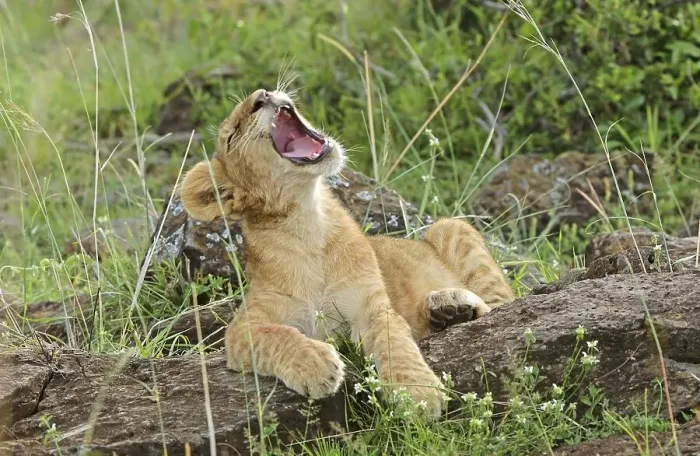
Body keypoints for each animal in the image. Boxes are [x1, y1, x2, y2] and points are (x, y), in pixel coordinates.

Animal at [179, 88, 514, 418]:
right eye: (233, 134)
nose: (262, 95)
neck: (309, 220)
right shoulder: (241, 330)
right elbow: (276, 336)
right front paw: (315, 364)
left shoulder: (372, 308)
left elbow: (395, 343)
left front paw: (417, 394)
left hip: (448, 228)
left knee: (502, 305)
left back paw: (451, 304)